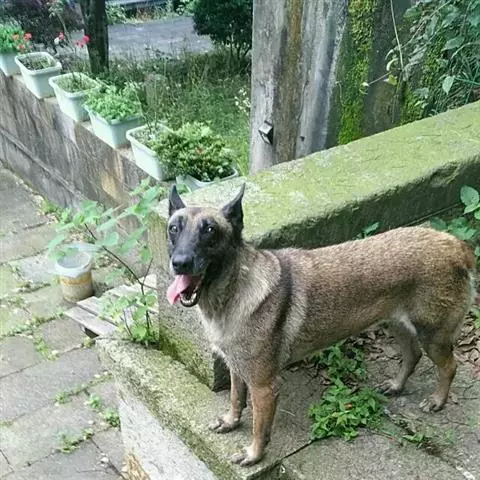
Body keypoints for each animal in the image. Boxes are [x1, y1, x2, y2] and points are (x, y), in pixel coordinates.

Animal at [166, 184, 476, 467]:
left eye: (209, 231)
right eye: (173, 229)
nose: (180, 263)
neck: (234, 288)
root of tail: (456, 245)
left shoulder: (263, 387)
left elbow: (258, 428)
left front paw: (254, 454)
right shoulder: (237, 368)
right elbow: (234, 398)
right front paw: (230, 421)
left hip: (433, 334)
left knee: (449, 366)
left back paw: (437, 400)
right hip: (396, 323)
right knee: (412, 355)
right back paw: (396, 385)